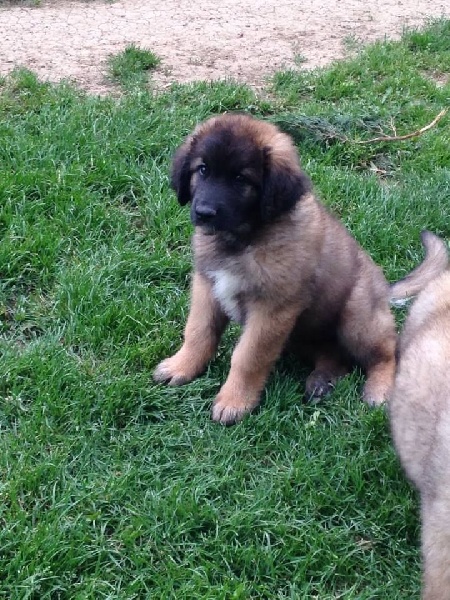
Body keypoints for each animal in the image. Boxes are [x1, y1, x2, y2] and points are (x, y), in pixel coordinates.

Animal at [153, 113, 435, 425]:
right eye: (202, 170)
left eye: (241, 178)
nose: (203, 213)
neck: (244, 239)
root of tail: (384, 291)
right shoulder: (207, 286)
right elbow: (198, 331)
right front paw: (182, 366)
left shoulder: (272, 309)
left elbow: (248, 356)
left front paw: (234, 401)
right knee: (335, 355)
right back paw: (322, 381)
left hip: (357, 315)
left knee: (387, 352)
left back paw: (379, 389)